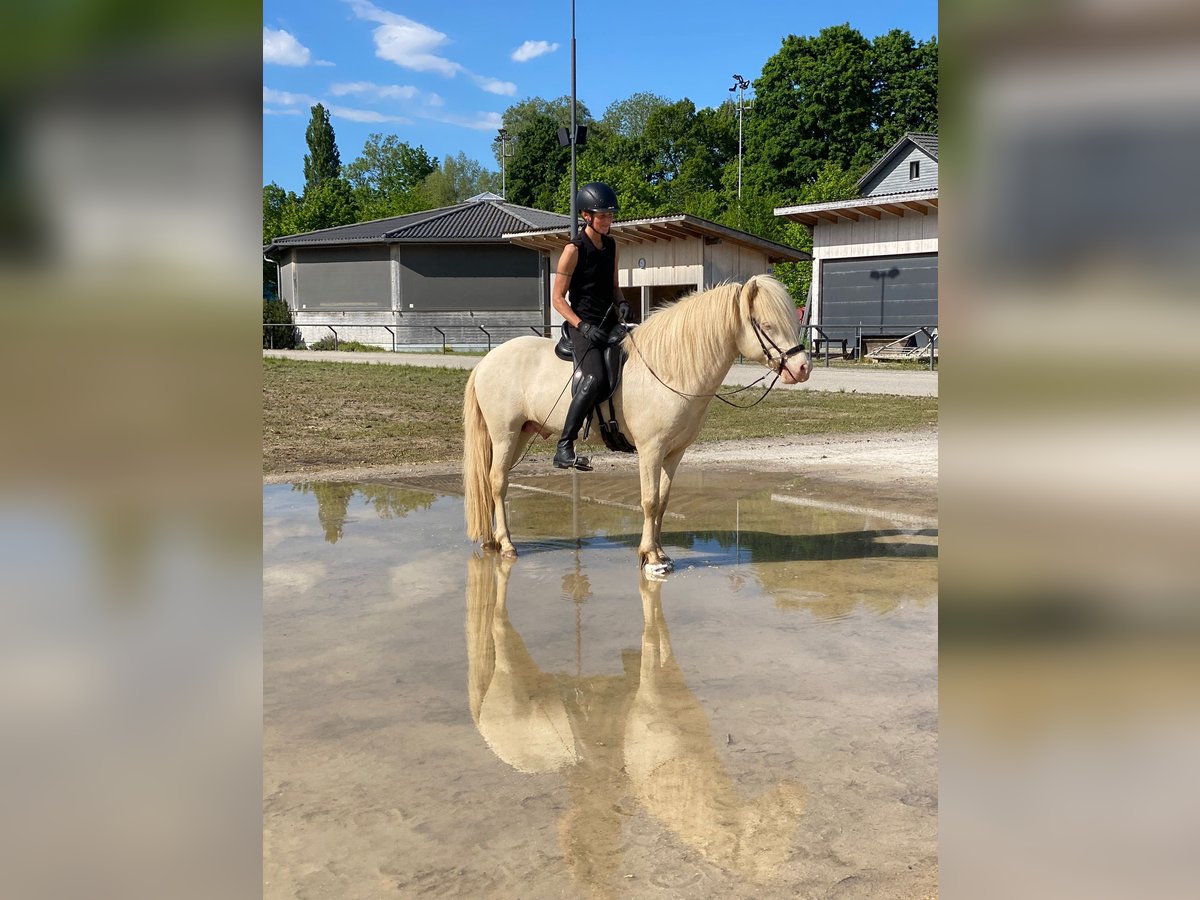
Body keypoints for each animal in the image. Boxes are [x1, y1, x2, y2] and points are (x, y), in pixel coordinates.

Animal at [463, 271, 811, 578]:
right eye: (766, 325)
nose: (802, 367)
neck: (669, 370)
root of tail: (486, 362)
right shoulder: (650, 450)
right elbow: (649, 500)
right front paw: (650, 559)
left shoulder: (674, 452)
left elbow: (663, 501)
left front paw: (660, 553)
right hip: (505, 434)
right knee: (497, 481)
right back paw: (507, 544)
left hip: (521, 434)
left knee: (495, 481)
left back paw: (493, 540)